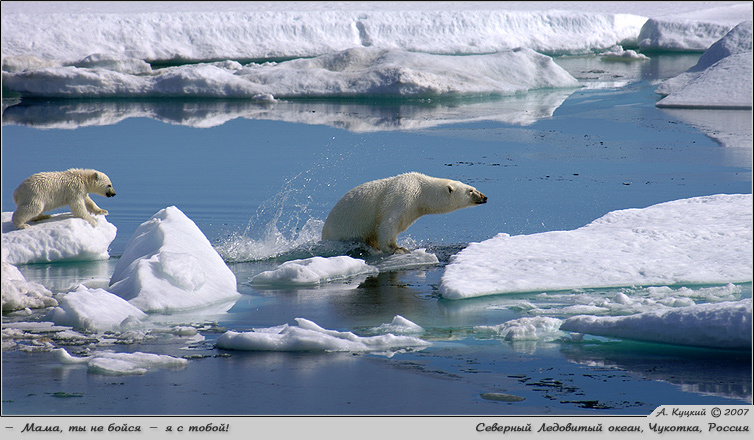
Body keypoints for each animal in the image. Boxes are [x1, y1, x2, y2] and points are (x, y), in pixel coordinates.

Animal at [322, 172, 487, 254]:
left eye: (473, 187)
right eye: (470, 190)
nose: (484, 197)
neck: (420, 189)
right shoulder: (403, 195)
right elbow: (388, 223)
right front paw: (398, 249)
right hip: (343, 230)